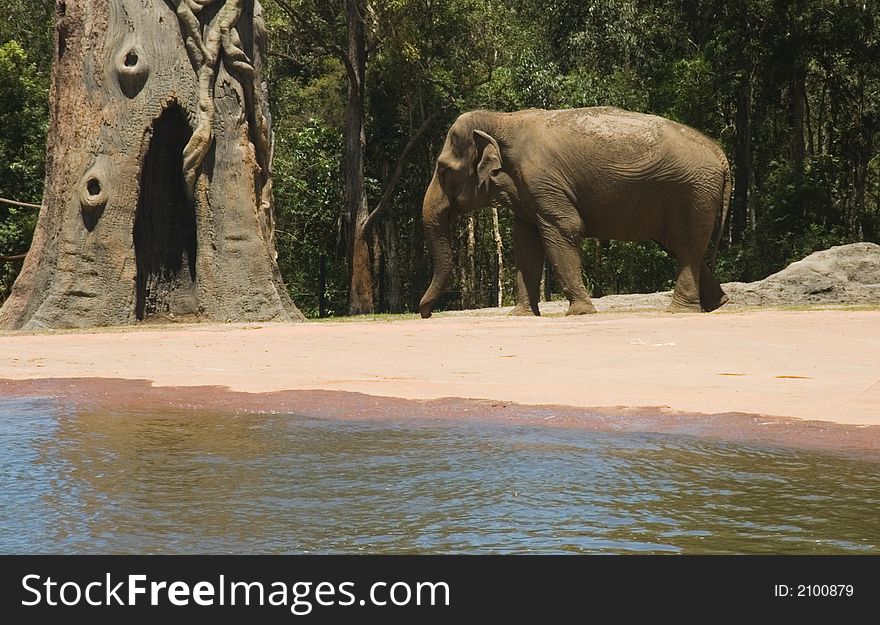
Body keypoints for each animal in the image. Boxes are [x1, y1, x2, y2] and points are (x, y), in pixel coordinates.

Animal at [418, 106, 728, 316]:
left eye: (443, 170)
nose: (426, 313)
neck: (501, 119)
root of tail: (722, 157)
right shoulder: (528, 190)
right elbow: (526, 245)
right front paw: (521, 315)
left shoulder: (544, 181)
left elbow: (564, 228)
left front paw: (580, 311)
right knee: (680, 247)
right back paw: (718, 304)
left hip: (693, 193)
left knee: (687, 247)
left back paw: (680, 311)